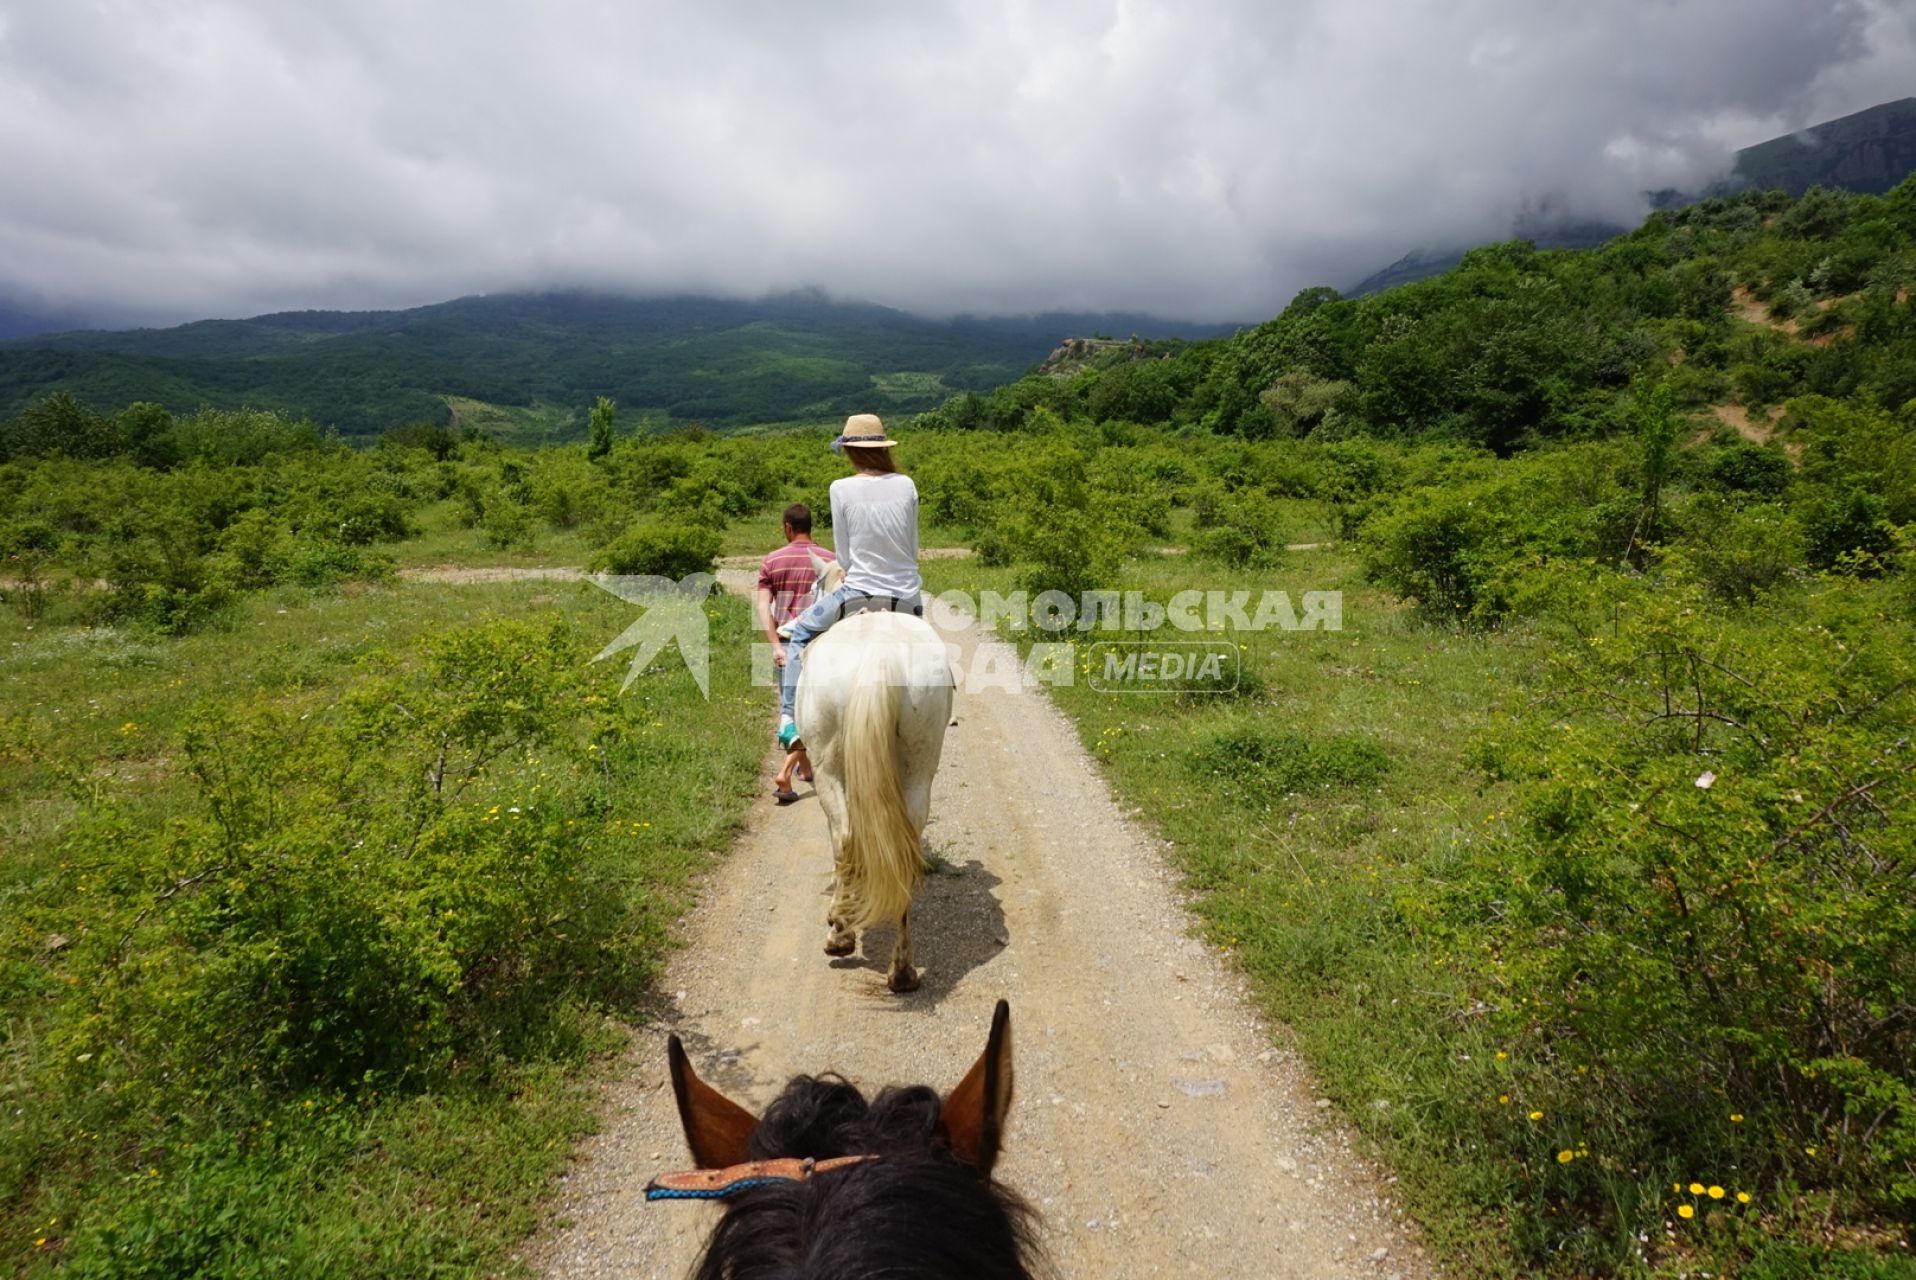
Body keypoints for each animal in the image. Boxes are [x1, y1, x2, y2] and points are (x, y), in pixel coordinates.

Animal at [785, 551, 950, 988]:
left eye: (812, 588)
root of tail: (881, 654)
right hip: (919, 768)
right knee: (904, 846)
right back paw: (903, 970)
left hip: (828, 770)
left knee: (844, 838)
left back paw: (839, 937)